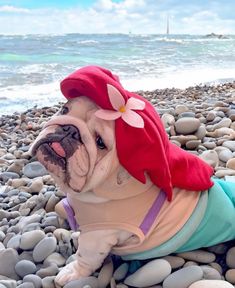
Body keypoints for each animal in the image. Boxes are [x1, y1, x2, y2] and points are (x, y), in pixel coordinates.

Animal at [30, 66, 235, 286]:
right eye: (64, 110)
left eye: (100, 143)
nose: (70, 130)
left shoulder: (97, 236)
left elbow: (85, 258)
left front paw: (72, 273)